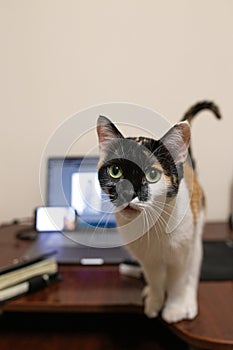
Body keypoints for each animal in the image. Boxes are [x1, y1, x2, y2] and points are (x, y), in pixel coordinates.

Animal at [95, 100, 221, 322]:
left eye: (152, 174)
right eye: (115, 171)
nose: (128, 192)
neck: (153, 228)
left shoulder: (181, 254)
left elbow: (178, 282)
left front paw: (174, 309)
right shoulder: (148, 260)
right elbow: (154, 280)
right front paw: (155, 301)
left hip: (196, 235)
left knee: (192, 272)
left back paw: (188, 303)